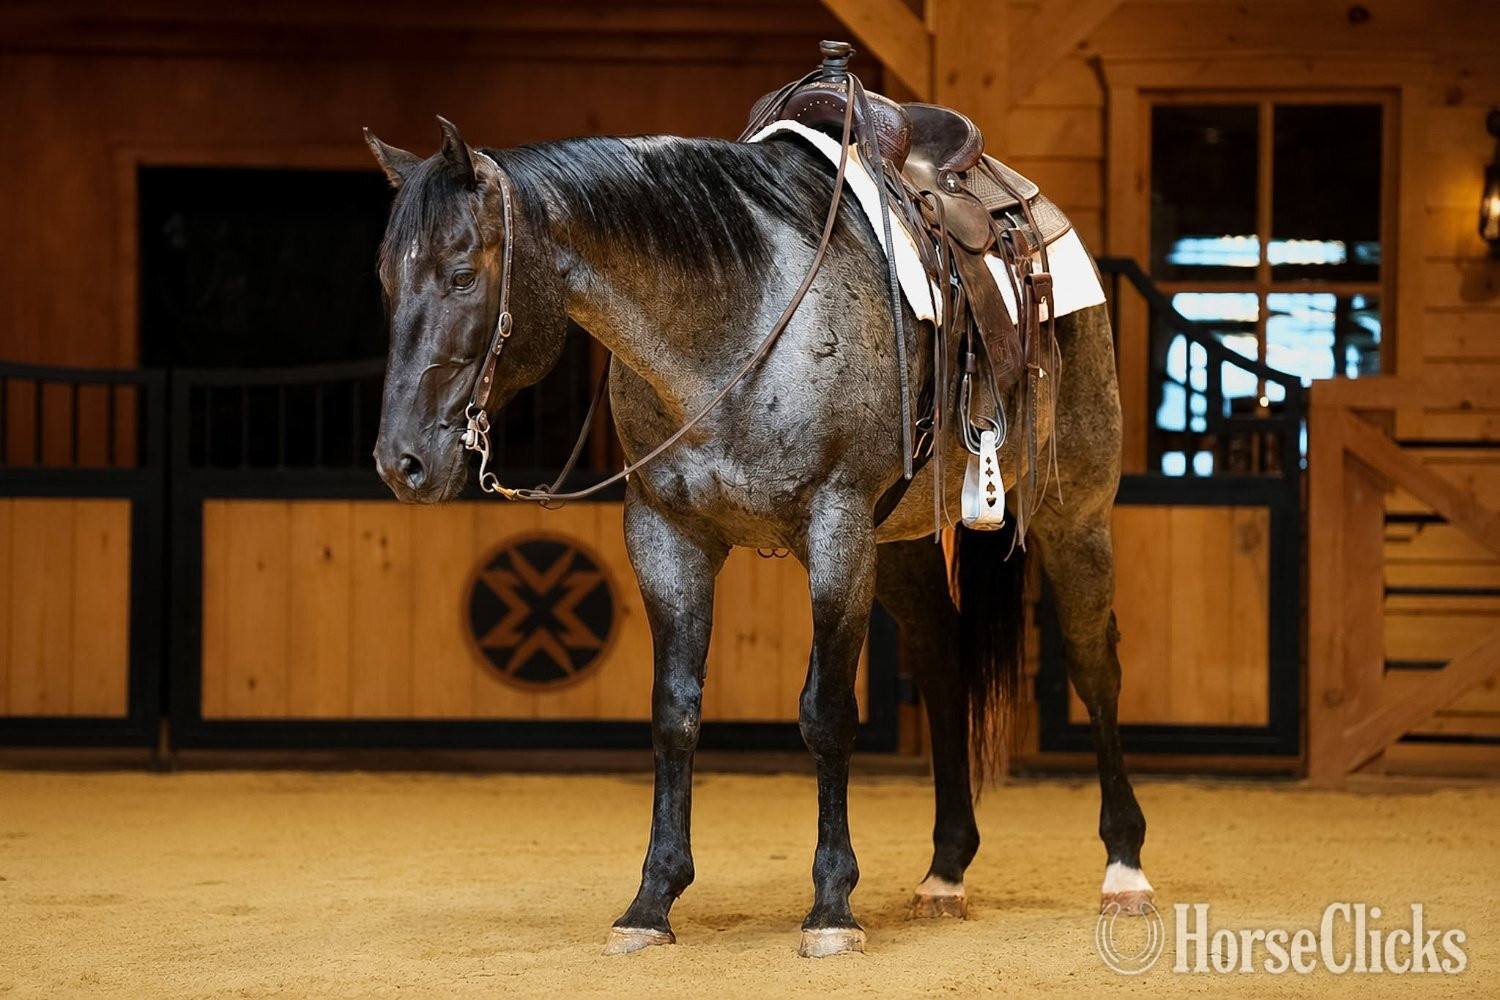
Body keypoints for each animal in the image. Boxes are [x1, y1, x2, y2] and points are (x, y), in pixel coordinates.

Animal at [363, 112, 1152, 958]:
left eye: (461, 274)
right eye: (386, 280)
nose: (402, 461)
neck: (735, 327)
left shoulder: (837, 529)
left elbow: (827, 713)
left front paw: (832, 907)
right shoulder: (667, 535)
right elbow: (674, 712)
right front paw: (652, 901)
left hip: (1074, 515)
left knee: (1095, 665)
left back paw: (1125, 869)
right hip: (900, 544)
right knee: (945, 662)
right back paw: (946, 871)